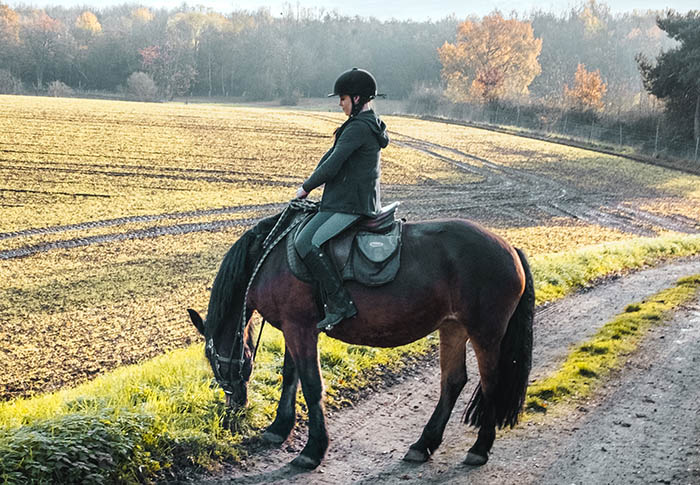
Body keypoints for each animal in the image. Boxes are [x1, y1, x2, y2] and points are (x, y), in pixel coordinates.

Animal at [187, 204, 536, 468]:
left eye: (212, 360)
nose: (233, 408)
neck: (268, 255)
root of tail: (511, 249)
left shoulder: (300, 328)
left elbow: (311, 385)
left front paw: (313, 450)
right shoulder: (292, 327)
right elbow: (290, 377)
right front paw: (278, 428)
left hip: (485, 333)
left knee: (491, 383)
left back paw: (479, 448)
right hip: (453, 328)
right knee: (453, 381)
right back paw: (423, 444)